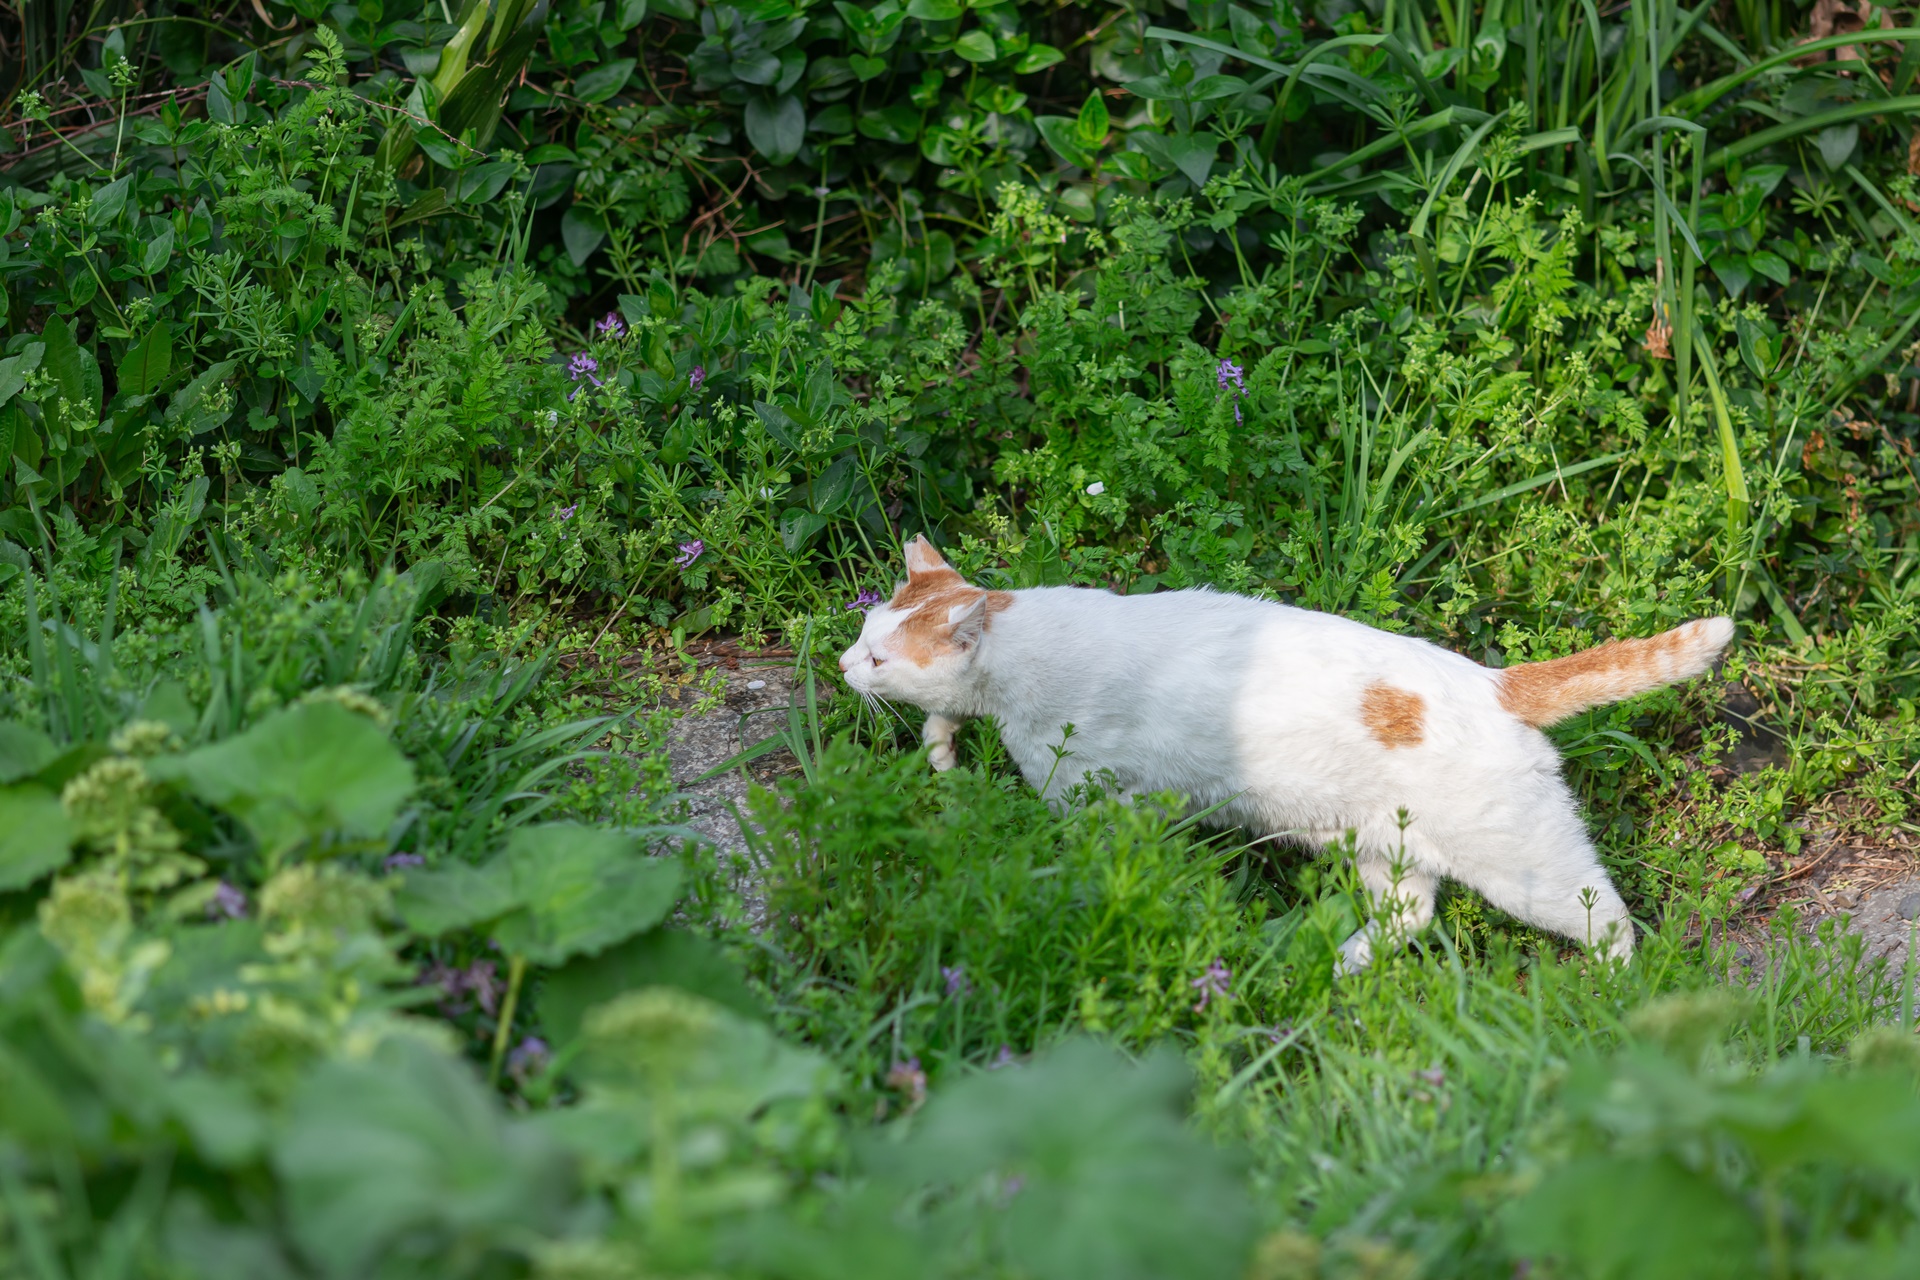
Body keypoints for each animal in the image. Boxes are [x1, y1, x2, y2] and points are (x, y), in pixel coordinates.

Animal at [838, 535, 1734, 971]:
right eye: (862, 636)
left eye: (878, 658)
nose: (843, 667)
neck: (1020, 643)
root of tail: (1498, 682)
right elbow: (943, 727)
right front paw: (941, 758)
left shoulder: (1089, 794)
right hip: (1386, 849)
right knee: (1411, 916)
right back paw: (1342, 963)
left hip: (1528, 868)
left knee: (1608, 916)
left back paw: (1614, 993)